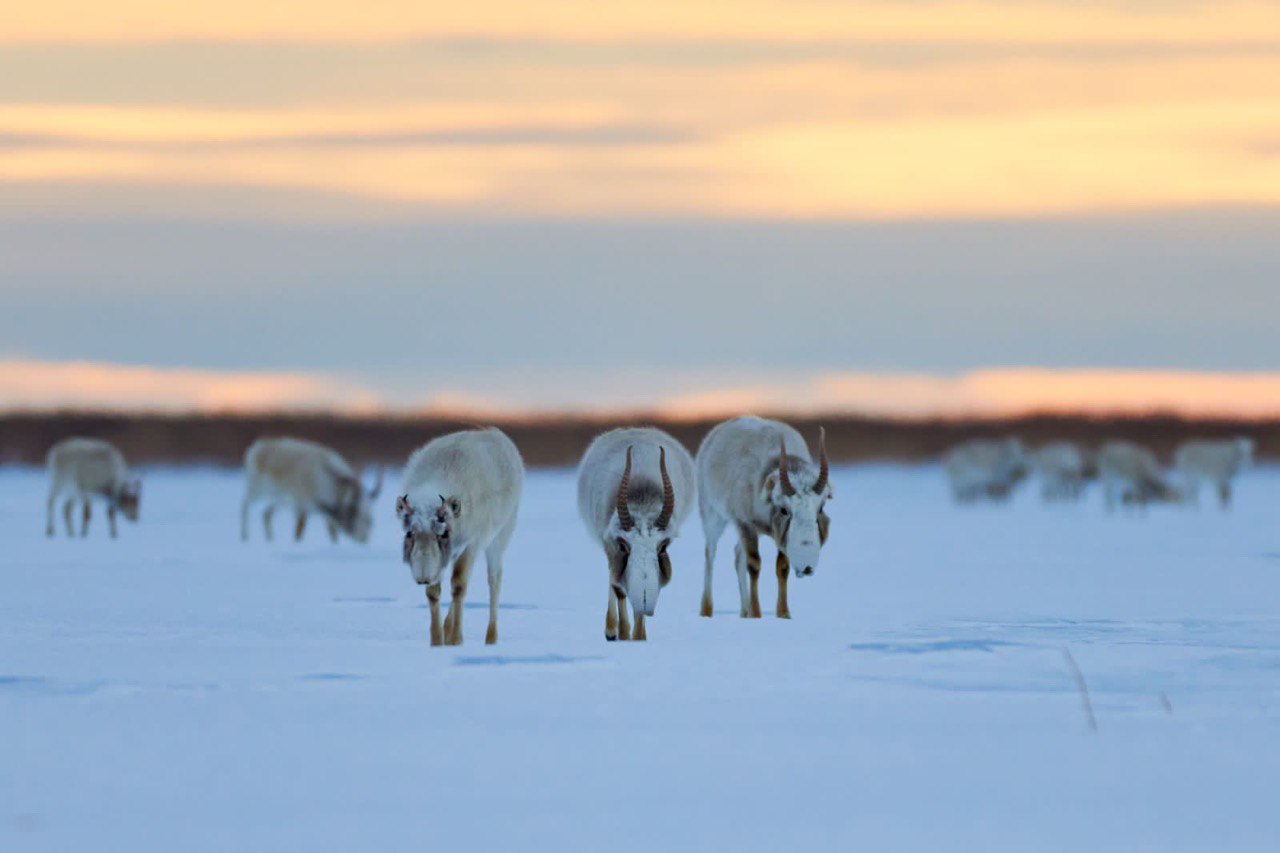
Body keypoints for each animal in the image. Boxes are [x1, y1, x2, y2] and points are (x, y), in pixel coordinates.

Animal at [240, 435, 378, 540]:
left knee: (266, 514)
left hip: (278, 500)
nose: (364, 539)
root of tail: (257, 447)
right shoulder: (301, 508)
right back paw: (244, 536)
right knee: (245, 505)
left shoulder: (325, 514)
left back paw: (270, 539)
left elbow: (332, 534)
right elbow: (298, 533)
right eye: (353, 511)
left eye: (370, 518)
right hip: (256, 490)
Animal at [396, 427, 522, 640]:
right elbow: (434, 592)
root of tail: (497, 434)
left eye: (443, 533)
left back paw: (491, 637)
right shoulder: (442, 558)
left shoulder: (472, 544)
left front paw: (456, 639)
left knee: (494, 580)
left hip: (499, 538)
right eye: (409, 533)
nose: (422, 577)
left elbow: (459, 586)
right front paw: (437, 639)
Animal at [578, 425, 696, 637]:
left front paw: (639, 636)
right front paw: (624, 634)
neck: (641, 493)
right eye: (624, 546)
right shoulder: (611, 545)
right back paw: (611, 630)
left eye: (663, 546)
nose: (644, 599)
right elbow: (618, 587)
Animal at [696, 412, 834, 617]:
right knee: (710, 554)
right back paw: (707, 610)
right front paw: (756, 614)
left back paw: (744, 611)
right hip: (713, 515)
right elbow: (754, 564)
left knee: (738, 554)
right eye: (784, 509)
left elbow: (782, 567)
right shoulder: (744, 522)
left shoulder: (776, 535)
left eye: (821, 507)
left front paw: (783, 614)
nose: (807, 566)